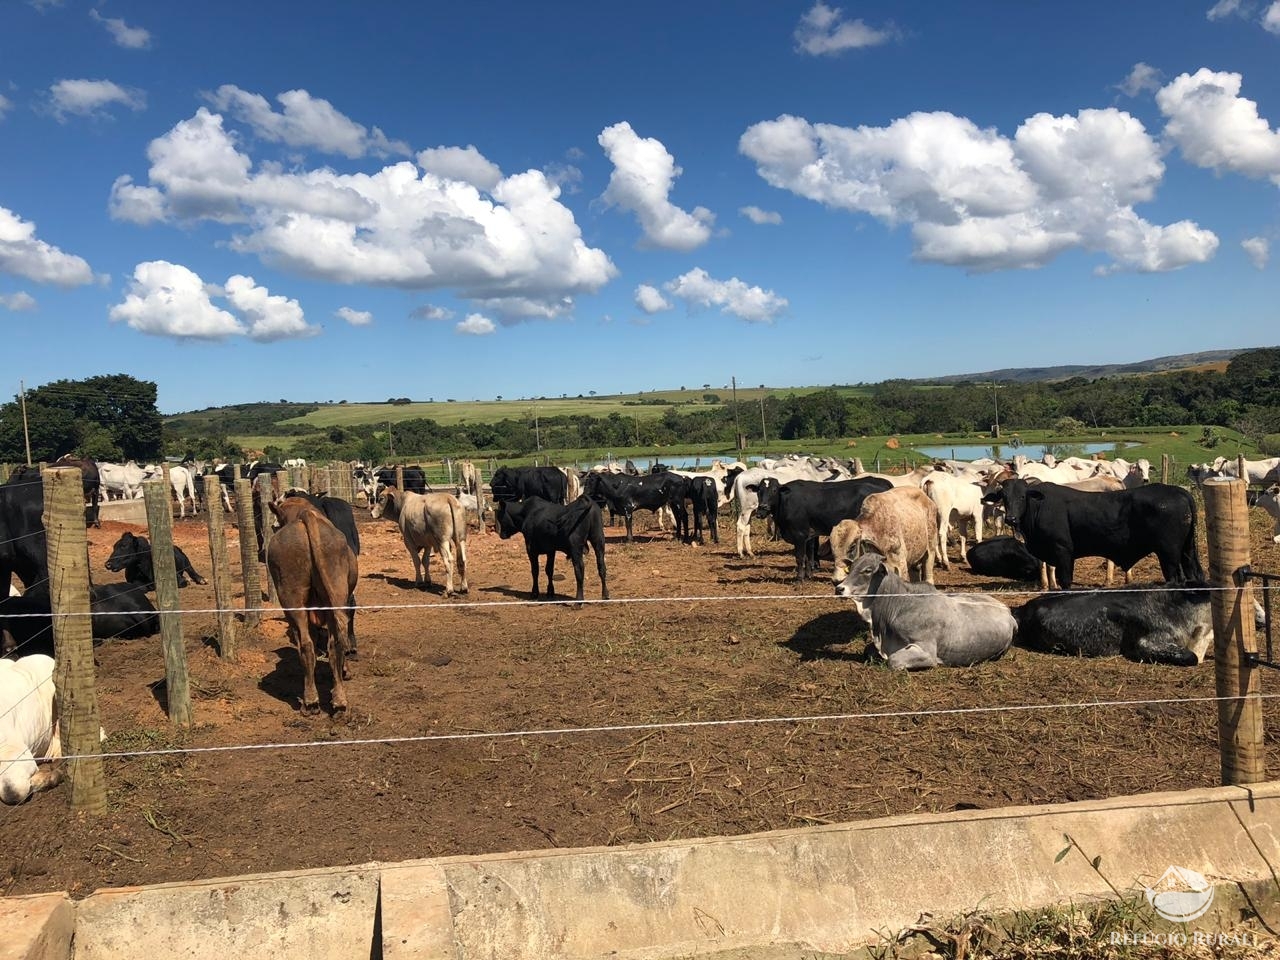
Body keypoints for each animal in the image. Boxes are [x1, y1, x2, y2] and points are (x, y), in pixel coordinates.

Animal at [264, 496, 355, 716]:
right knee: (332, 642)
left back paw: (312, 701)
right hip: (333, 595)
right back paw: (336, 701)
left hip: (293, 601)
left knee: (308, 643)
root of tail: (306, 516)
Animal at [834, 552, 1013, 670]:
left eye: (867, 570)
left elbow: (893, 661)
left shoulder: (926, 652)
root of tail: (1009, 614)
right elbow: (868, 651)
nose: (839, 588)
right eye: (851, 567)